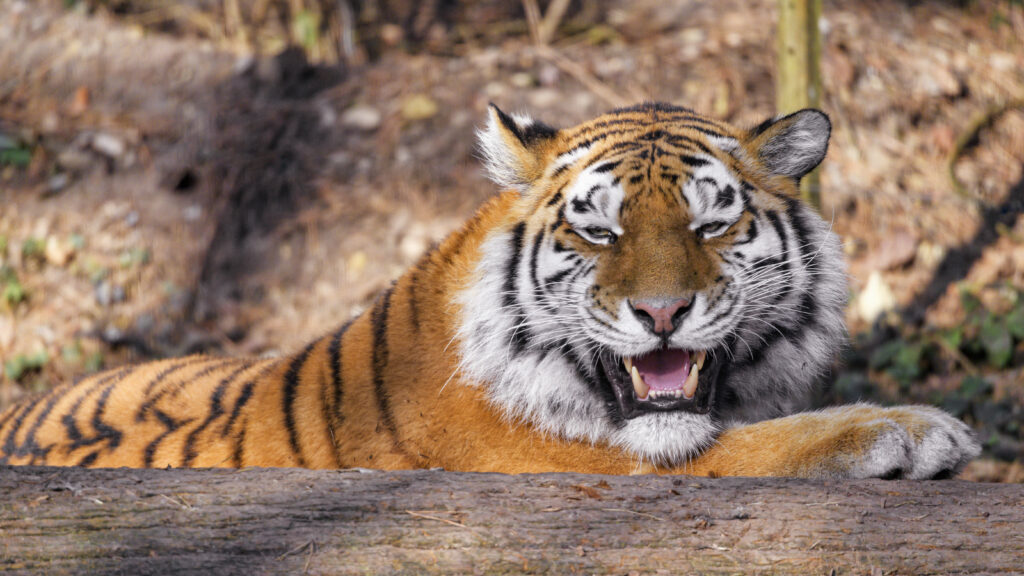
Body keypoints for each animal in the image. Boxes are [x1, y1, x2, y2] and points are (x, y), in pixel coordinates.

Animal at [0, 102, 979, 478]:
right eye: (600, 231)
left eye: (710, 227)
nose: (662, 312)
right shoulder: (569, 462)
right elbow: (752, 449)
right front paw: (907, 429)